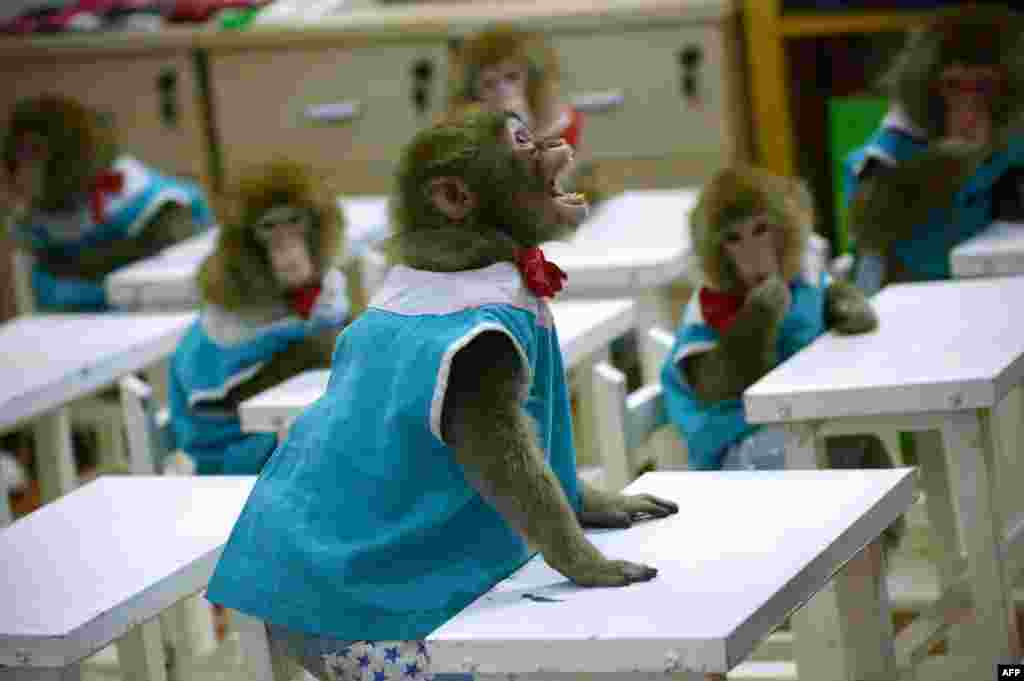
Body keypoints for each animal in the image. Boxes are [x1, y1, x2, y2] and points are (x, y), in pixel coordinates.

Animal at [1, 94, 214, 311]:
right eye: (18, 152)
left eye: (35, 149)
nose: (21, 171)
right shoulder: (37, 223)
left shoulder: (130, 187)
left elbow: (172, 216)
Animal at [205, 111, 679, 679]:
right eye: (522, 141)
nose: (552, 140)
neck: (480, 251)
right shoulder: (481, 358)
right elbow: (497, 452)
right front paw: (582, 561)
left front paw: (597, 502)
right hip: (359, 643)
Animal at [659, 164, 909, 548]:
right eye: (732, 238)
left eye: (759, 229)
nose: (752, 259)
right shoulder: (703, 313)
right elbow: (713, 387)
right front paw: (765, 303)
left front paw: (851, 307)